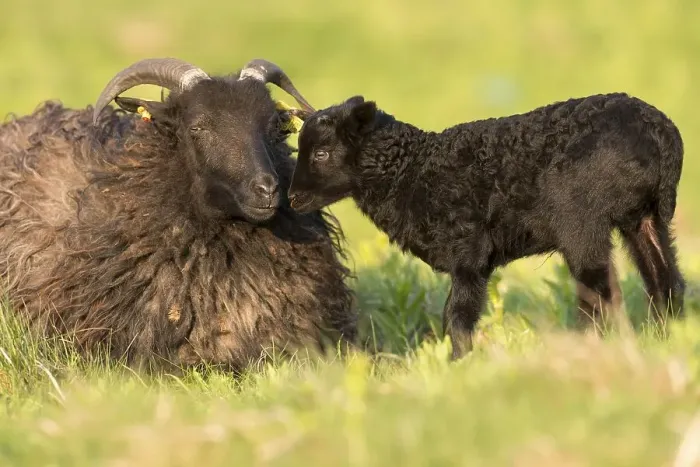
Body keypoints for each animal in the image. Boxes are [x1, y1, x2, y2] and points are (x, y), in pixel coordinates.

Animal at [287, 93, 686, 358]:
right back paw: (669, 336)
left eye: (321, 153)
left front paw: (458, 363)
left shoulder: (469, 248)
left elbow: (457, 315)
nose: (291, 199)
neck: (412, 170)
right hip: (645, 217)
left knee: (598, 290)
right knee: (664, 279)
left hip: (581, 218)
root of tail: (662, 134)